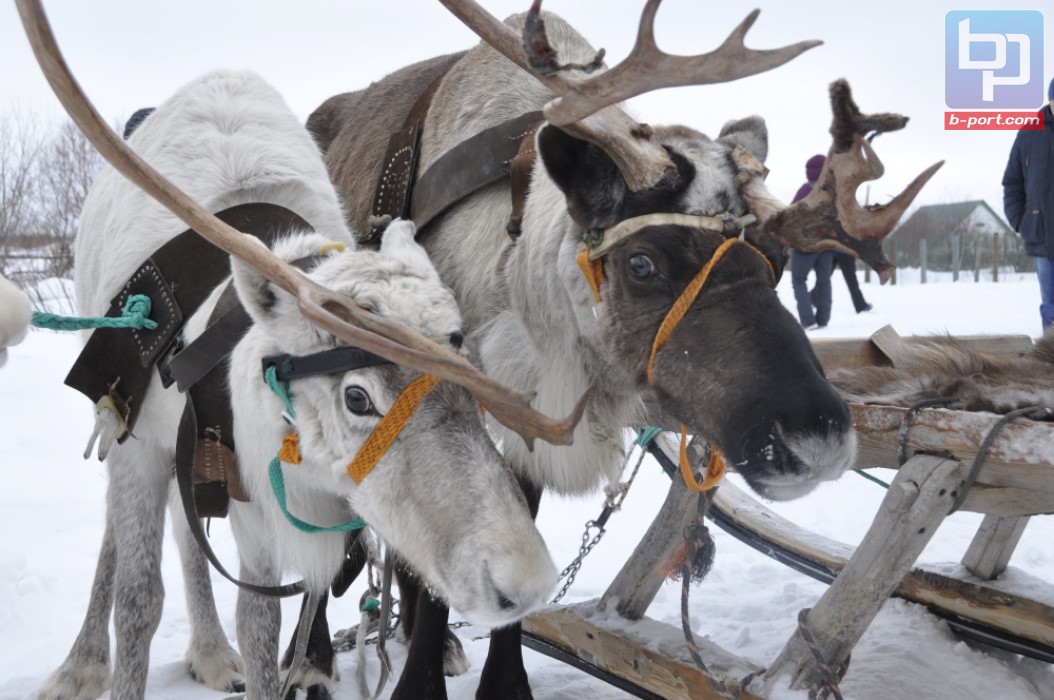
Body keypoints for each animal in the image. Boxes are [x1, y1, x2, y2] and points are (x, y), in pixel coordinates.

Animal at [305, 1, 942, 698]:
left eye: (775, 260)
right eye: (642, 263)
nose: (818, 437)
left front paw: (499, 677)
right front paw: (418, 677)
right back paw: (315, 655)